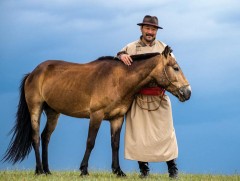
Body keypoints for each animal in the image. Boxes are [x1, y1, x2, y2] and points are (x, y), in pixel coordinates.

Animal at [2, 45, 191, 177]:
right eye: (175, 68)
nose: (187, 92)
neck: (119, 80)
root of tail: (33, 72)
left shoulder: (117, 118)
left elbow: (115, 144)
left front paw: (118, 171)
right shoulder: (96, 116)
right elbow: (90, 142)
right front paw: (84, 170)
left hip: (53, 112)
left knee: (45, 137)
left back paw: (47, 171)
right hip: (35, 108)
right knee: (35, 137)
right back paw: (40, 170)